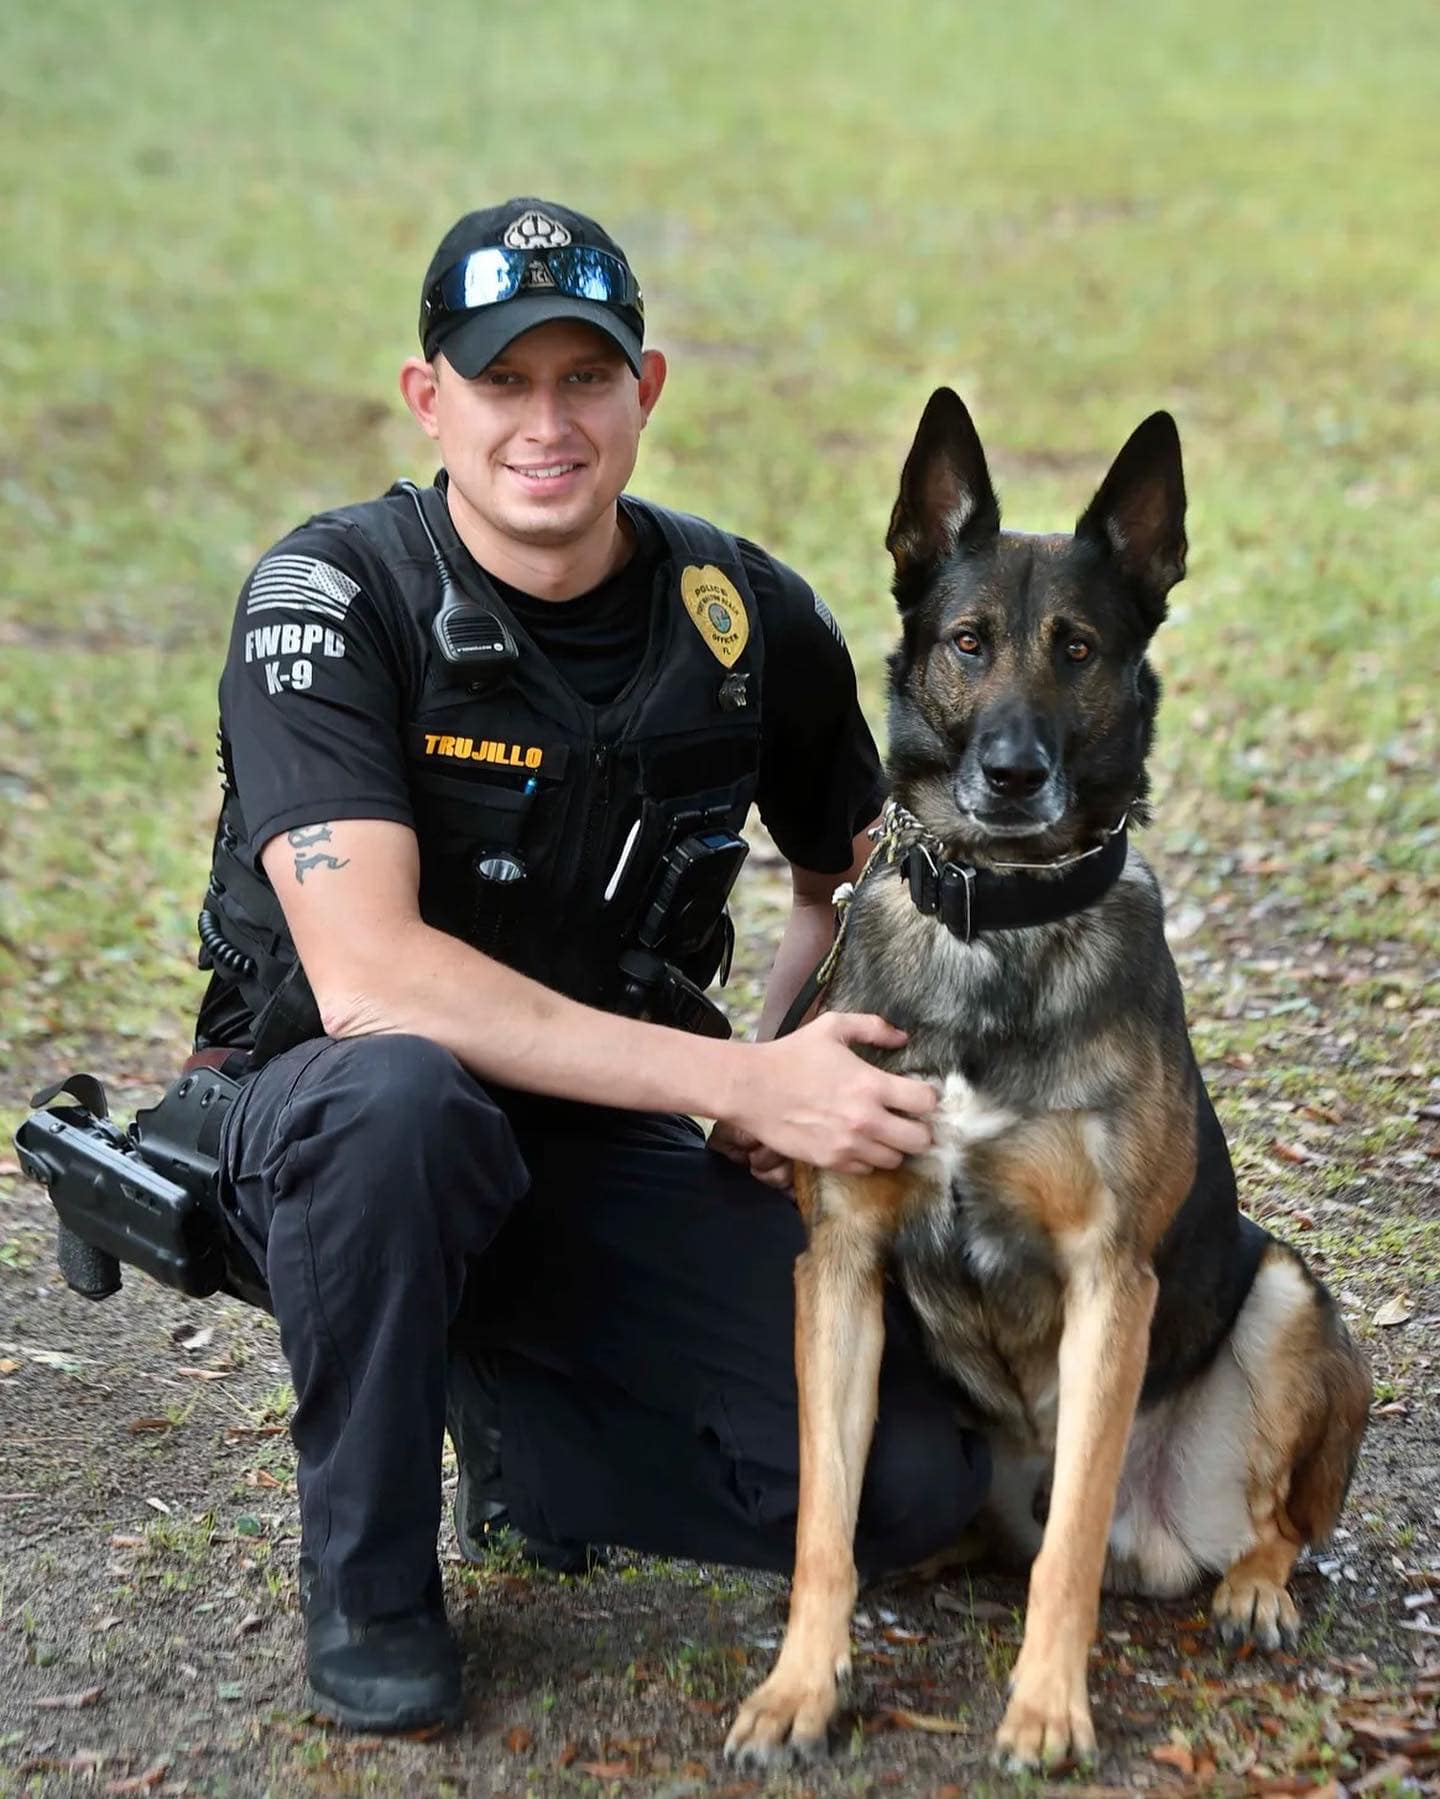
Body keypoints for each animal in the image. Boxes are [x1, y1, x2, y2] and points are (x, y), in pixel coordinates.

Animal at [730, 397, 1375, 1770]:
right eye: (969, 642)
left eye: (1077, 648)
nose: (1014, 774)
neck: (997, 919)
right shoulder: (842, 1266)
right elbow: (820, 1521)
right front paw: (802, 1683)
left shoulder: (1109, 1282)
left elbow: (1069, 1545)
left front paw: (1046, 1707)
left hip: (1287, 1294)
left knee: (1259, 1526)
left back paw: (1253, 1588)